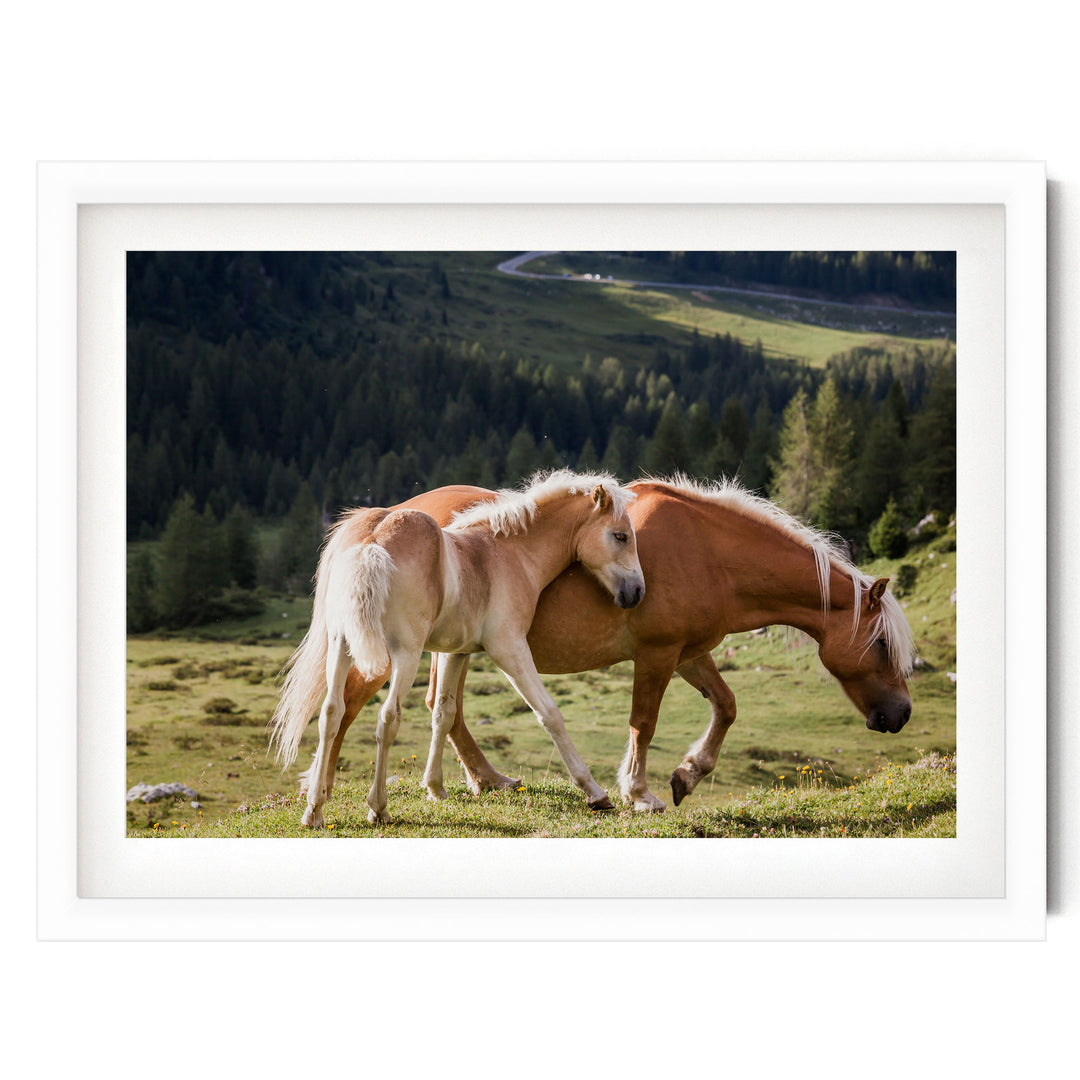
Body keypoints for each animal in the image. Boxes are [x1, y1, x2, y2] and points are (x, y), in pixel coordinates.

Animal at [269, 470, 645, 826]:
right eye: (621, 536)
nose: (637, 592)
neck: (507, 553)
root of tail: (371, 541)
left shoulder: (455, 652)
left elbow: (443, 713)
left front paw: (435, 787)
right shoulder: (509, 649)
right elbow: (549, 714)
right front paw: (595, 792)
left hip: (341, 646)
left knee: (331, 713)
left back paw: (314, 809)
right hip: (404, 654)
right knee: (387, 718)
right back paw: (378, 808)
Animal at [292, 475, 917, 814]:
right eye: (881, 646)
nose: (901, 715)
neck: (709, 552)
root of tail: (383, 520)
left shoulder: (690, 652)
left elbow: (726, 705)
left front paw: (688, 774)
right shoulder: (658, 655)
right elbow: (643, 721)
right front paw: (639, 791)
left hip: (453, 647)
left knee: (440, 709)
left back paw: (485, 780)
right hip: (391, 650)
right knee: (352, 705)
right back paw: (326, 792)